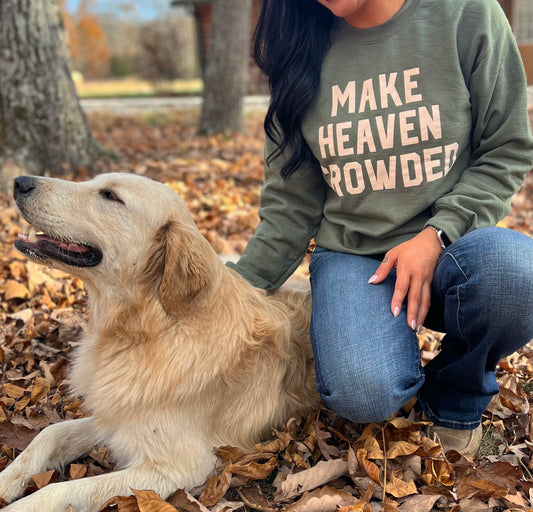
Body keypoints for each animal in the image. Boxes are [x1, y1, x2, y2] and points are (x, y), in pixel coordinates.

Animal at [1, 174, 316, 510]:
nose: (20, 182)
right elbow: (50, 433)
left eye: (110, 196)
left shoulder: (178, 466)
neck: (153, 327)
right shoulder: (117, 415)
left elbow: (59, 490)